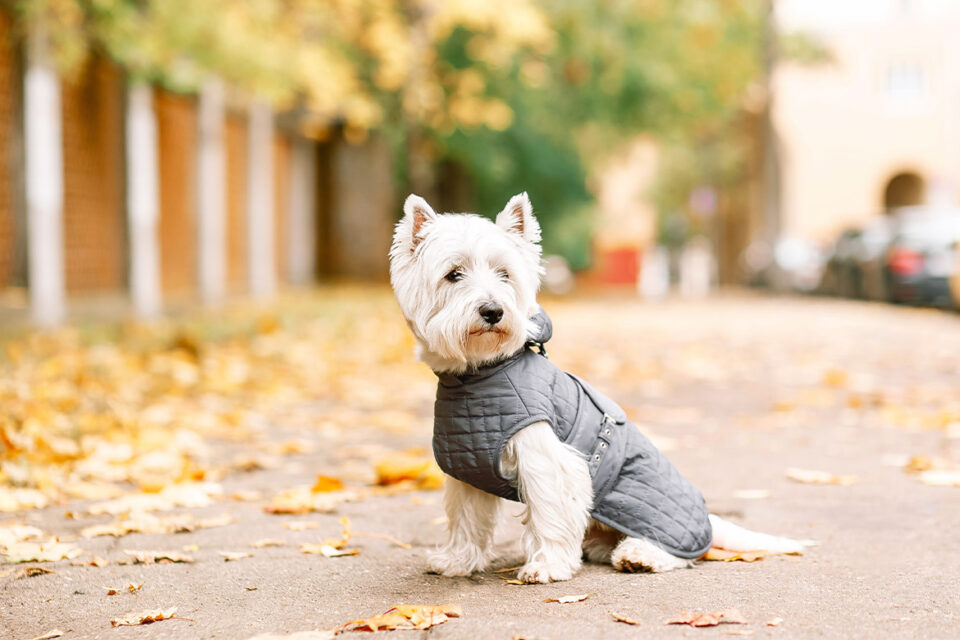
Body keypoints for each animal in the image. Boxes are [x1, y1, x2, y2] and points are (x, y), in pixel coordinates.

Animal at [388, 192, 808, 584]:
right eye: (453, 274)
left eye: (504, 274)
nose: (493, 311)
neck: (479, 374)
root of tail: (706, 517)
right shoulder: (468, 468)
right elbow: (467, 521)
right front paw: (457, 561)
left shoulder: (547, 460)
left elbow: (549, 512)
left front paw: (547, 566)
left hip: (645, 503)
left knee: (682, 551)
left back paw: (641, 554)